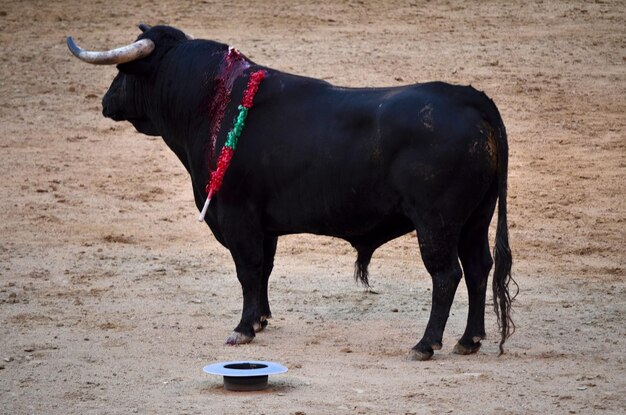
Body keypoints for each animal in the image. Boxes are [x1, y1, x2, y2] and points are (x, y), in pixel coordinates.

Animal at [67, 25, 512, 360]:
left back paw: (425, 344)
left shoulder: (236, 215)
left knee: (446, 275)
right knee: (478, 268)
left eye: (124, 70)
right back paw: (468, 340)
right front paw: (260, 319)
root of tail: (470, 98)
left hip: (437, 222)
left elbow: (247, 269)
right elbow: (263, 268)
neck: (212, 102)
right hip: (475, 218)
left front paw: (242, 328)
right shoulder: (264, 225)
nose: (106, 102)